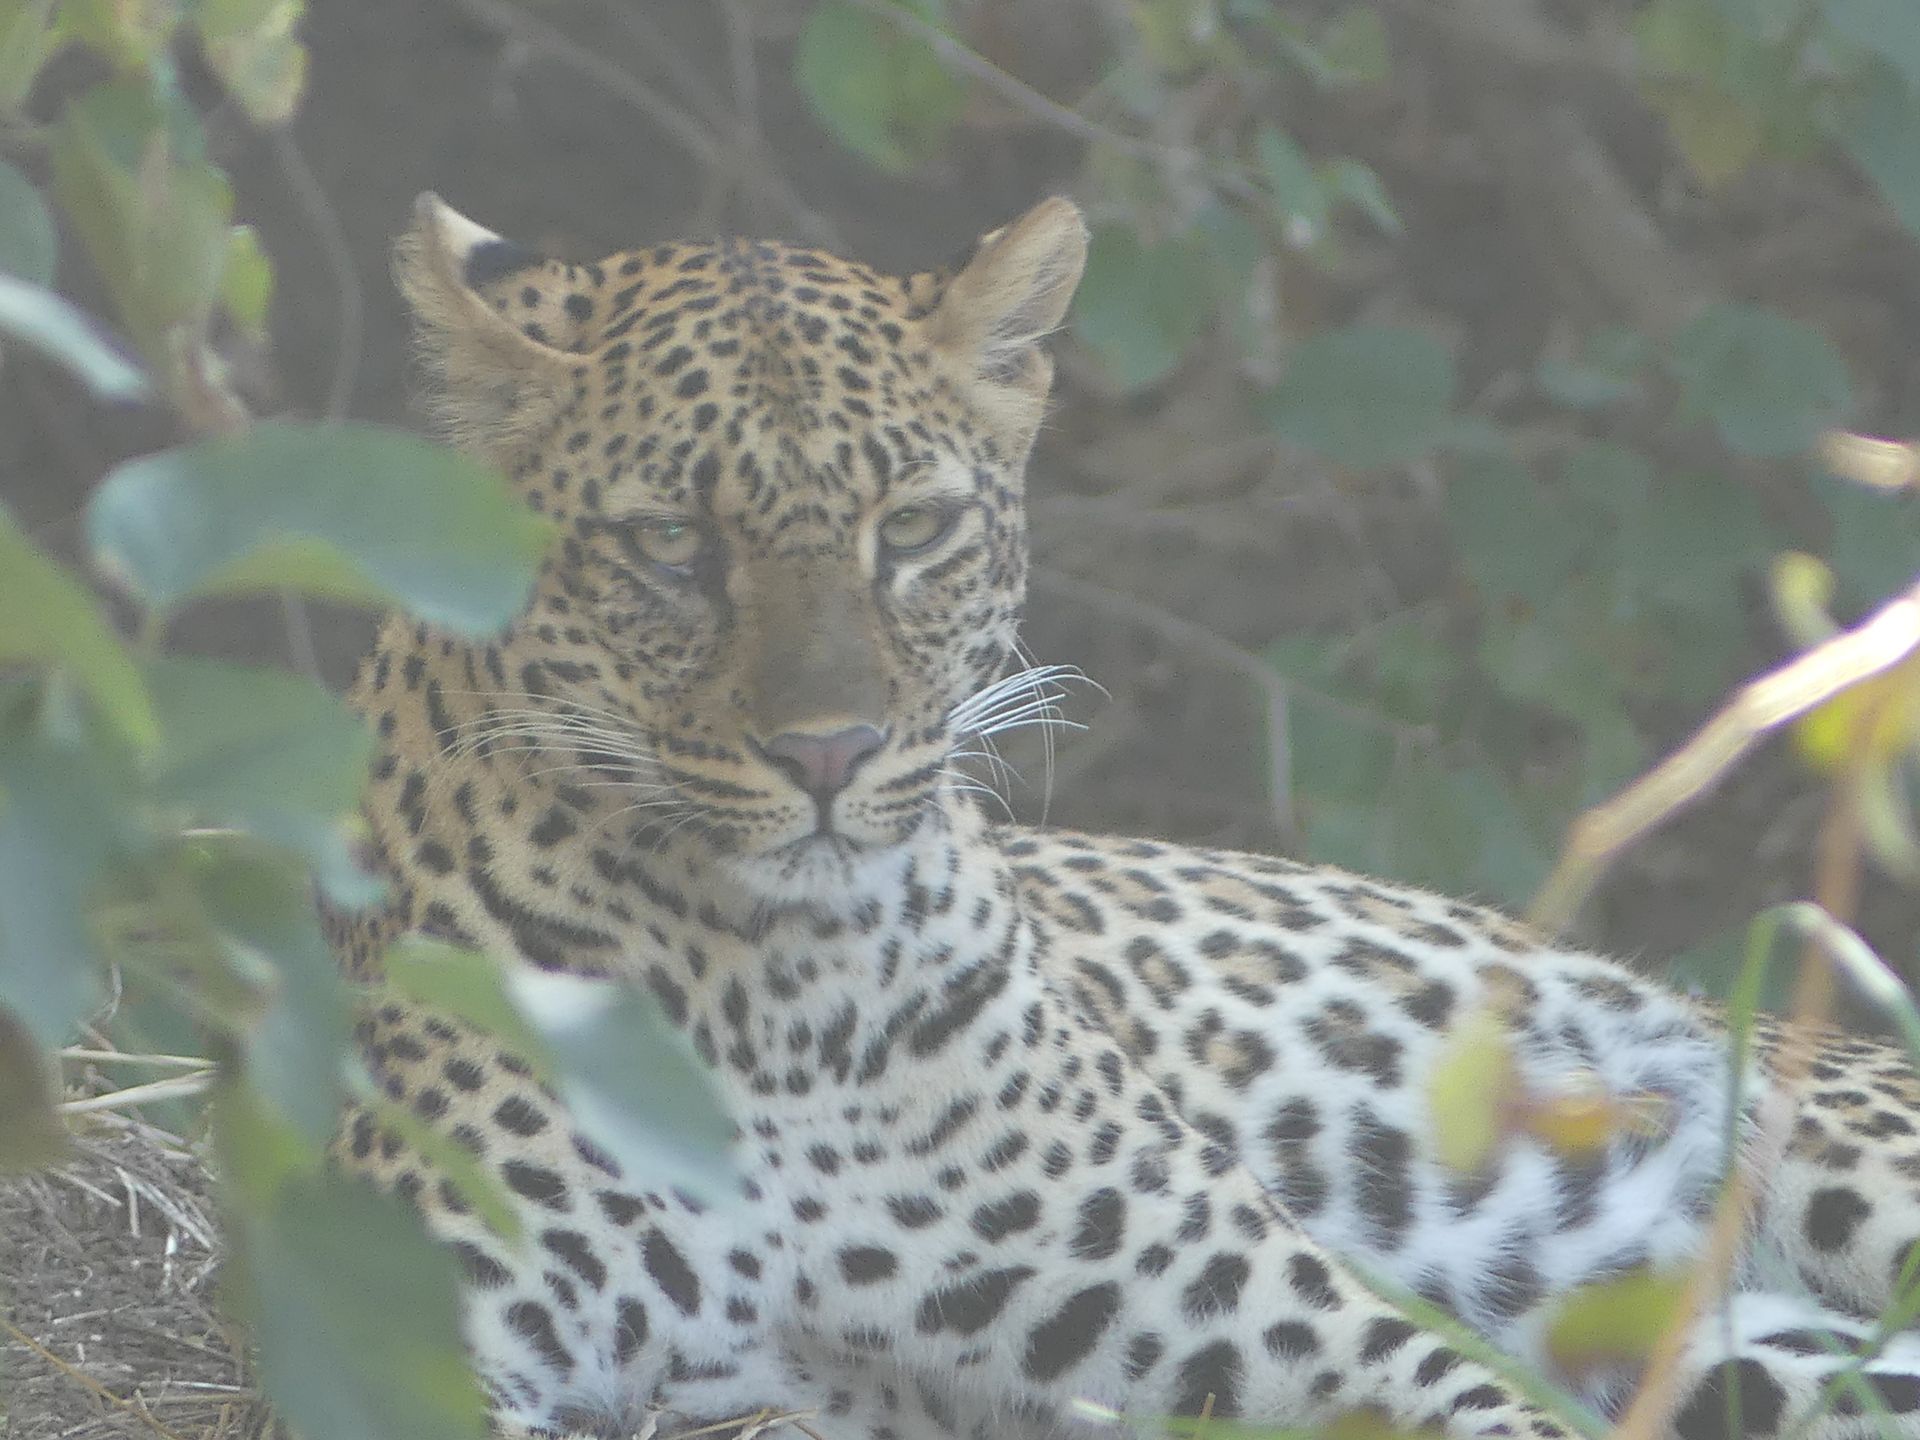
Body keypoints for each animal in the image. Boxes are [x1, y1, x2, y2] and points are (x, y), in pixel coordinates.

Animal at [327, 189, 1920, 1440]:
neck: (775, 996)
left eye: (913, 529)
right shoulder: (398, 1344)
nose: (829, 754)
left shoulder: (1279, 1318)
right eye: (669, 541)